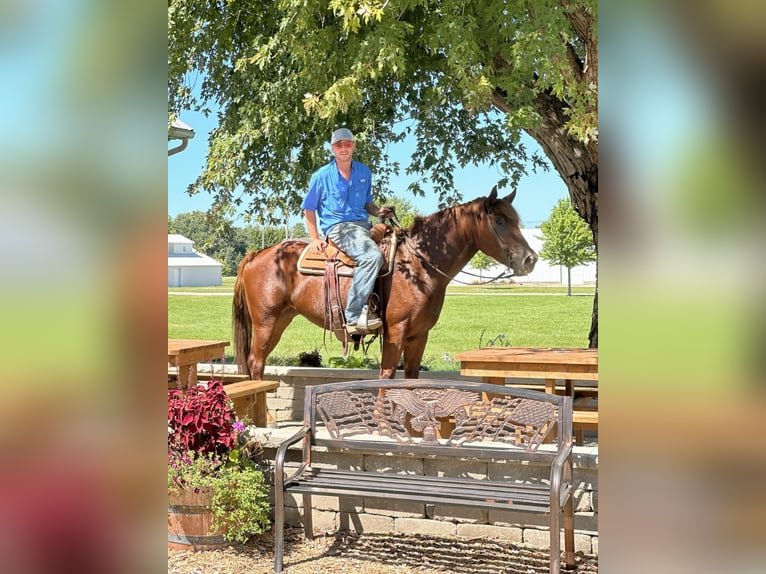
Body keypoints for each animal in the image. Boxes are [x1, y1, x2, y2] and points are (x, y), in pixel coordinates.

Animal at [234, 187, 540, 380]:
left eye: (515, 220)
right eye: (498, 220)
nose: (530, 259)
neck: (419, 264)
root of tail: (257, 254)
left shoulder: (419, 334)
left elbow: (411, 377)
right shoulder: (396, 331)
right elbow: (387, 375)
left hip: (281, 319)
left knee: (257, 362)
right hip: (266, 321)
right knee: (255, 361)